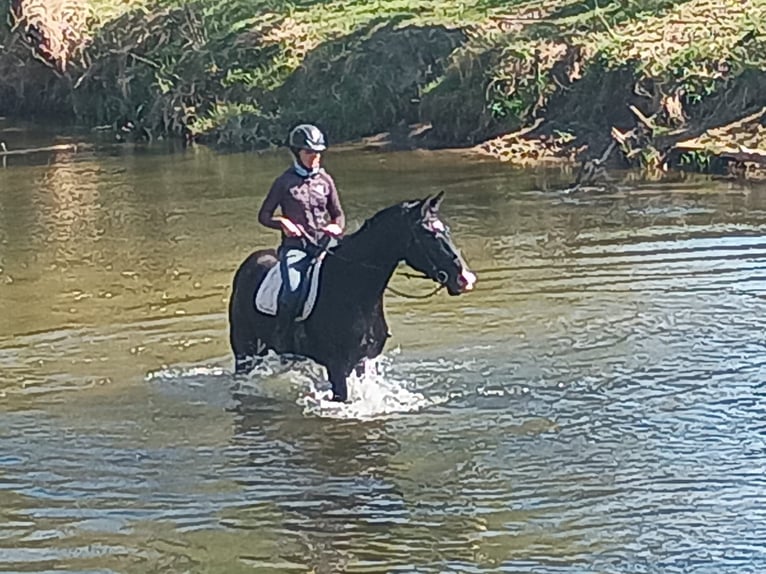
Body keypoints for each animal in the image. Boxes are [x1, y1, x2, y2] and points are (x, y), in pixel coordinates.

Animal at [227, 192, 477, 402]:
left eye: (446, 230)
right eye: (428, 233)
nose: (465, 279)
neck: (353, 288)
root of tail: (249, 263)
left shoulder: (363, 361)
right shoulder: (337, 367)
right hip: (244, 350)